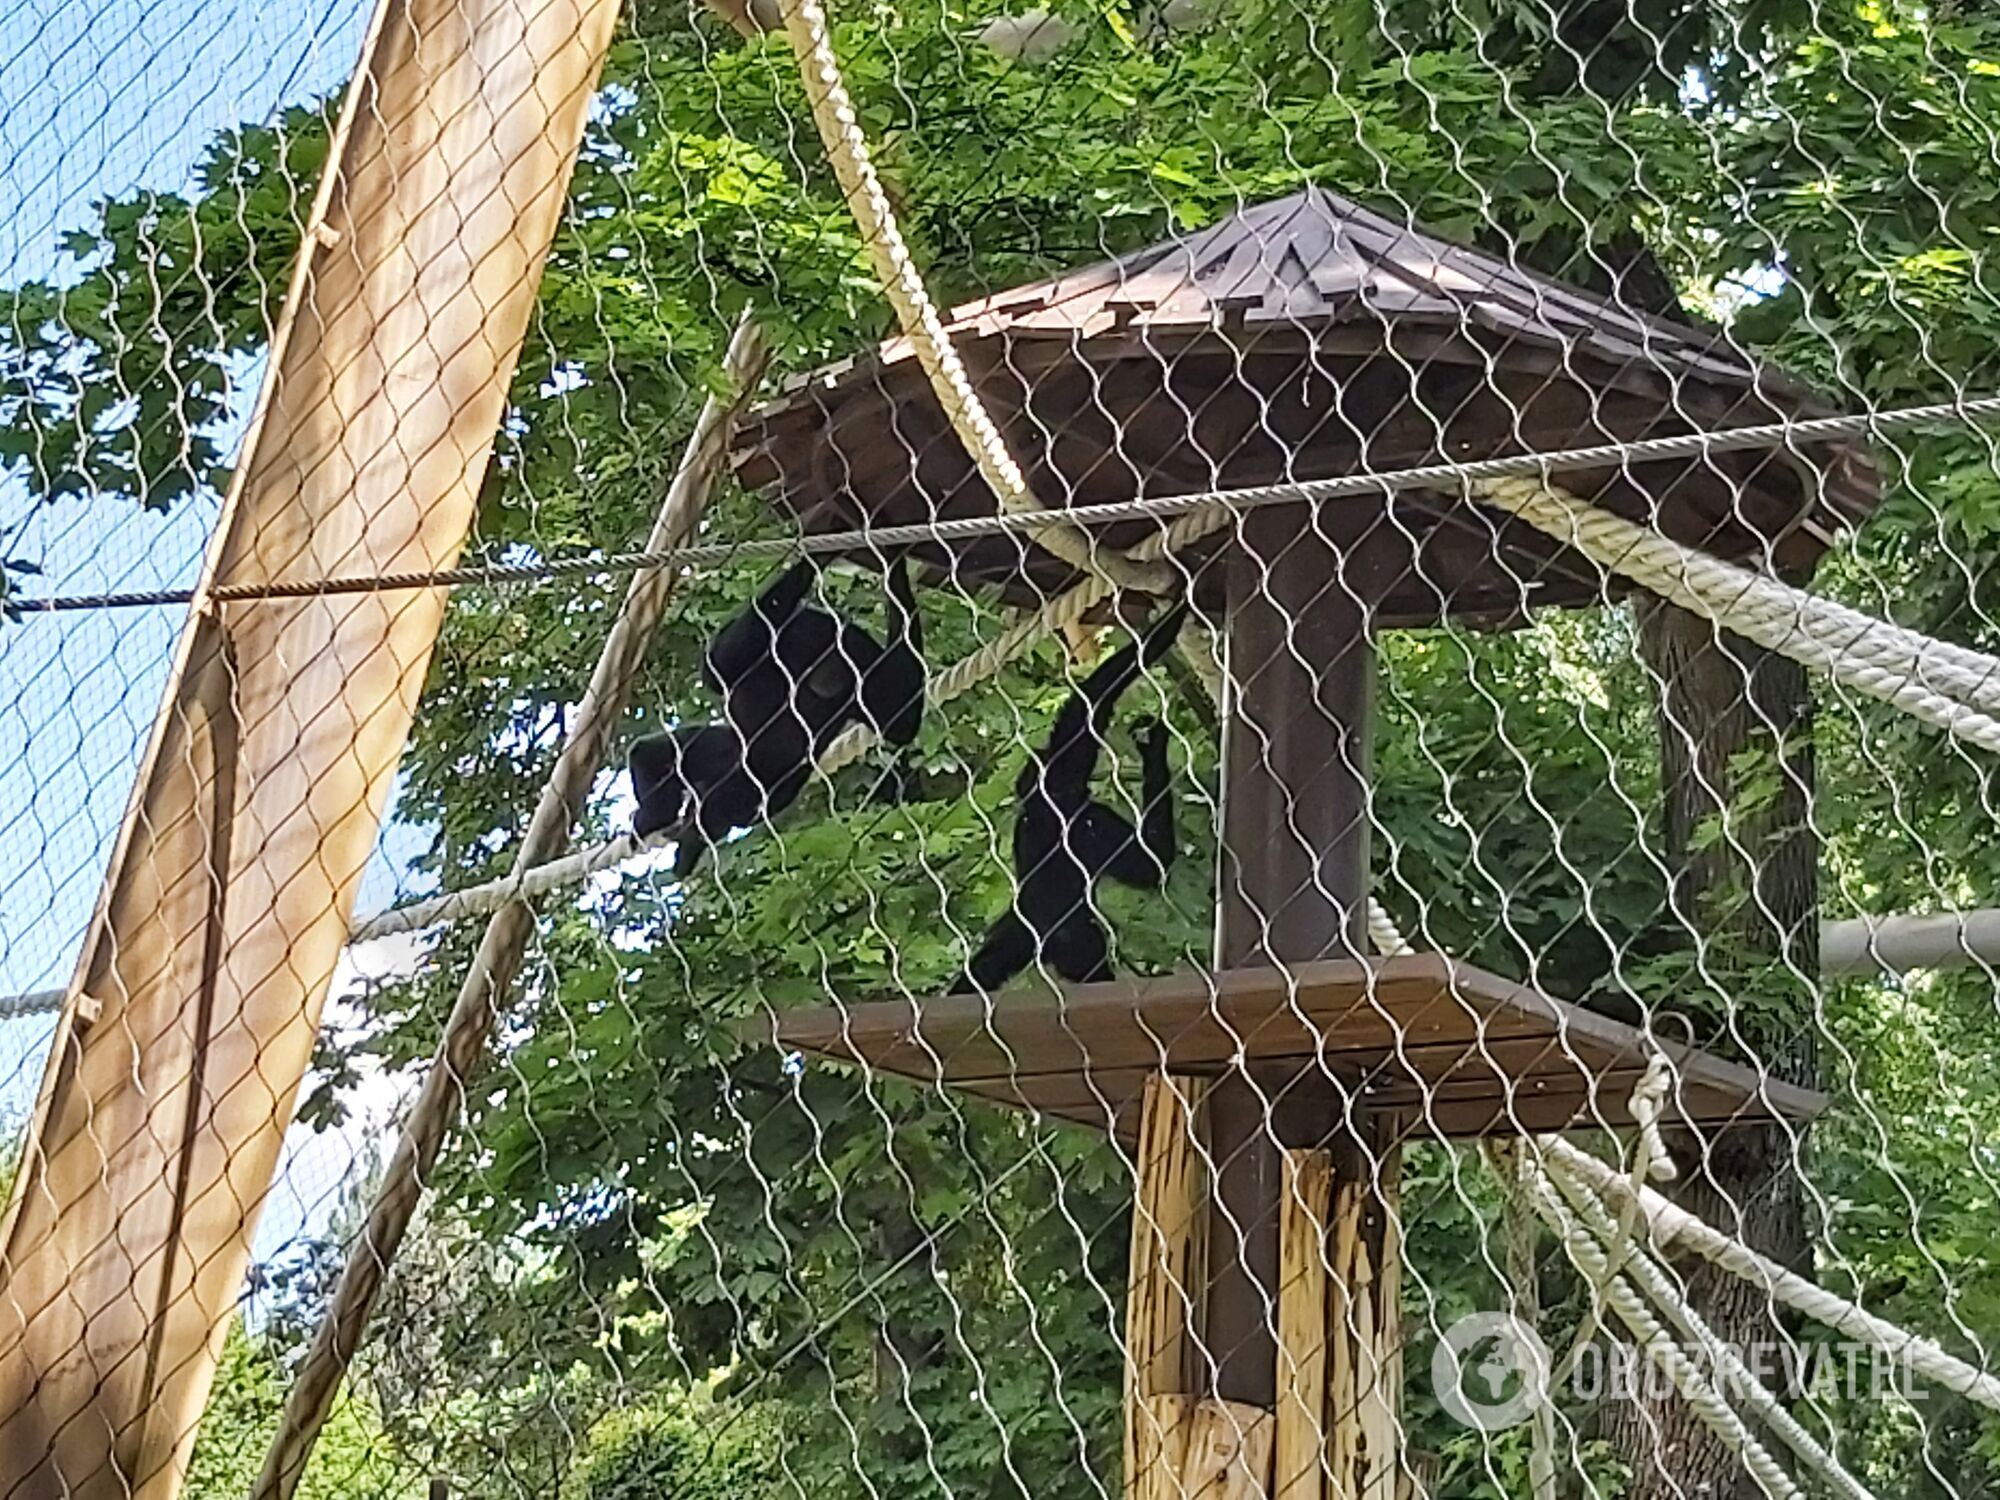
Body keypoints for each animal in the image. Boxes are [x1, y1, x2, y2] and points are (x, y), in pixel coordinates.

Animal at [628, 556, 924, 876]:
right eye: (820, 654)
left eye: (835, 661)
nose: (830, 671)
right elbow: (718, 665)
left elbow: (901, 723)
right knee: (656, 754)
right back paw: (658, 816)